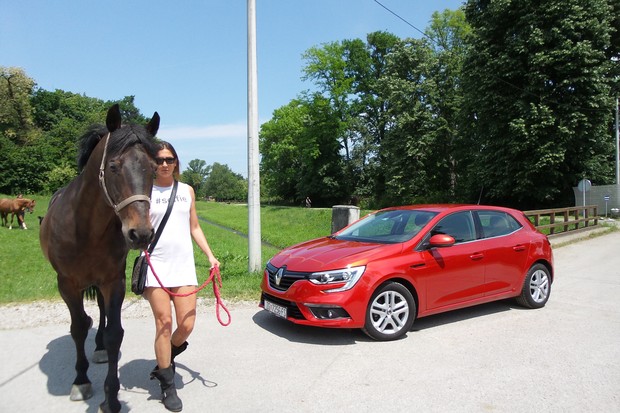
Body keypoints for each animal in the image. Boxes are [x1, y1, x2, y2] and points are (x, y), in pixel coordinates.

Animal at [39, 104, 160, 412]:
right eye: (114, 167)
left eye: (154, 170)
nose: (141, 234)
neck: (85, 228)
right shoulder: (67, 284)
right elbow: (78, 327)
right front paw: (81, 381)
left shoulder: (113, 281)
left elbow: (114, 333)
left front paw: (112, 396)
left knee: (103, 311)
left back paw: (100, 348)